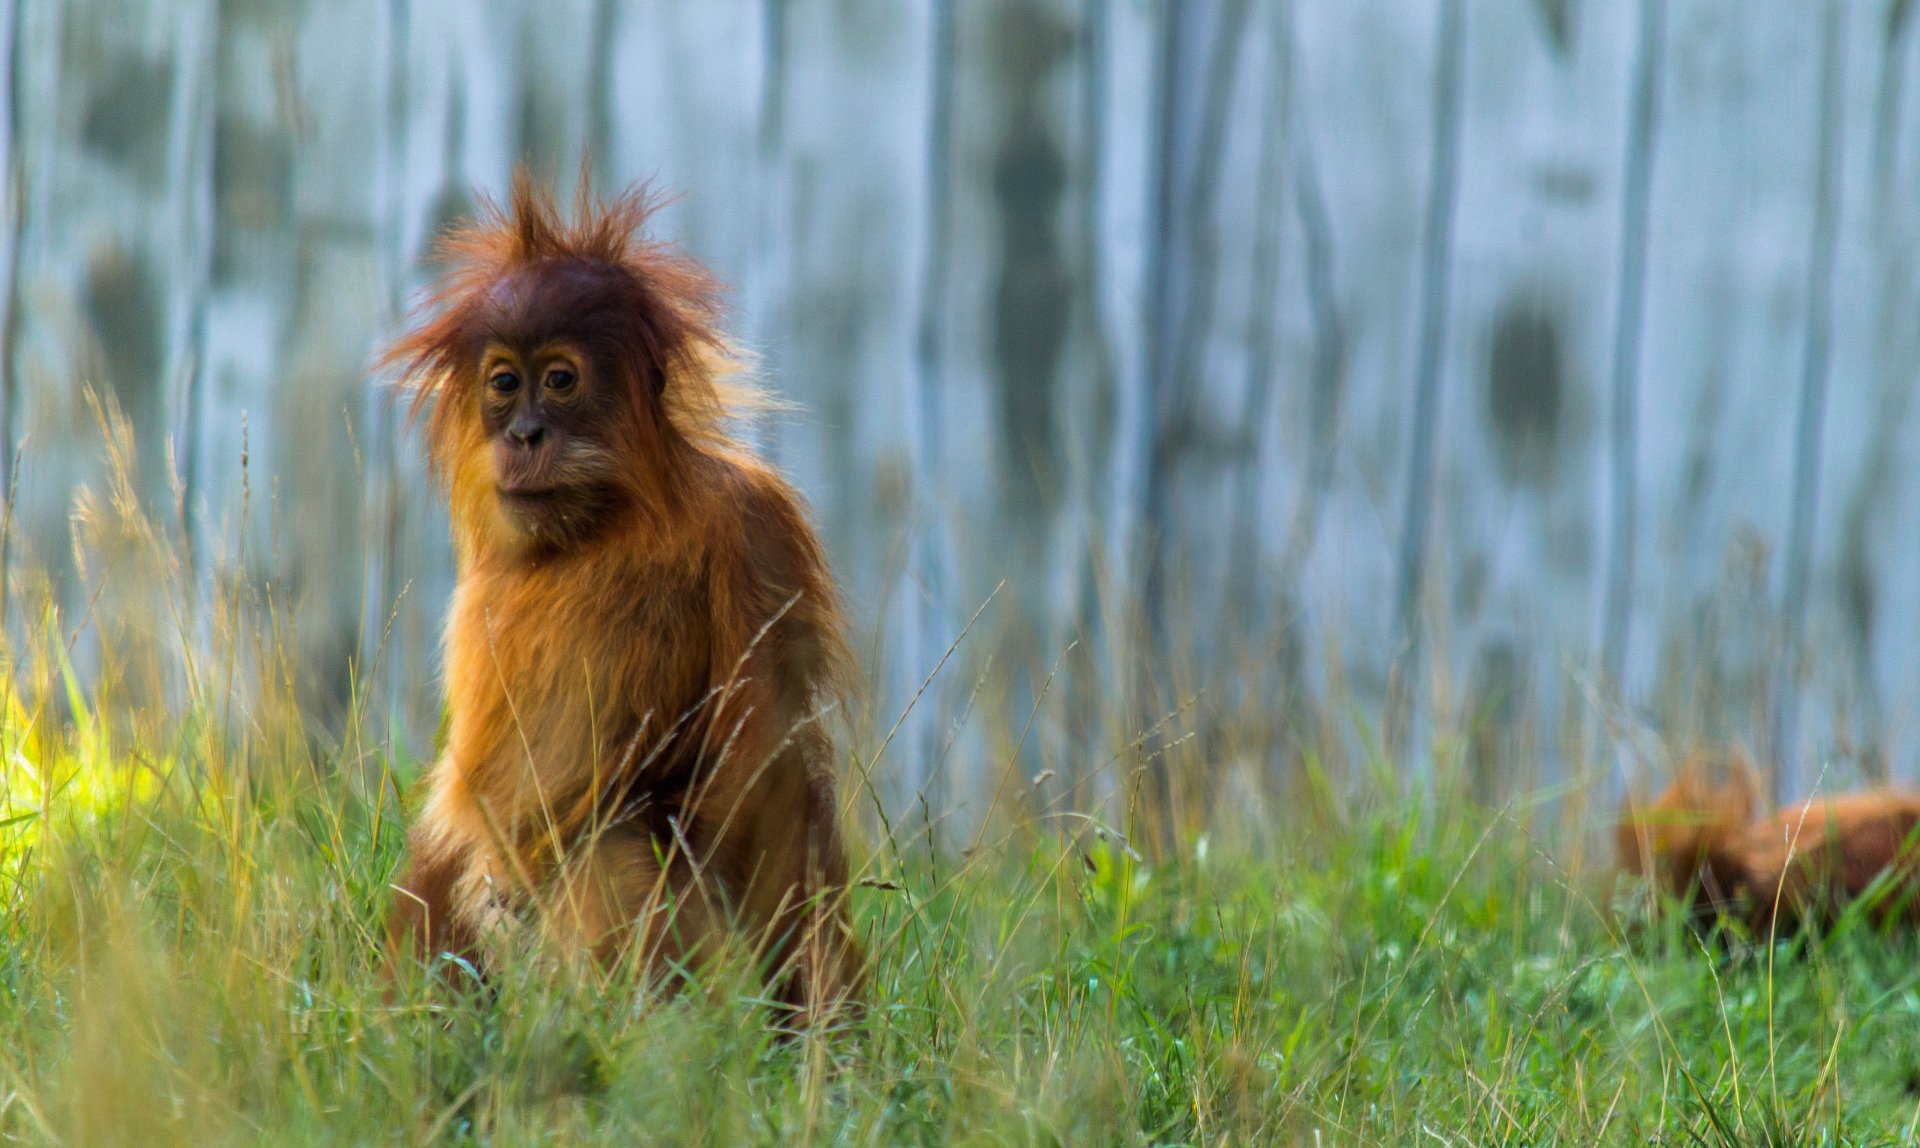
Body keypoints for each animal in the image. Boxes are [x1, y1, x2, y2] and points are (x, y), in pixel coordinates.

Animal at [381, 170, 863, 1022]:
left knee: (615, 846)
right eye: (504, 383)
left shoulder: (754, 528)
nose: (525, 435)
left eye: (560, 380)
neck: (605, 521)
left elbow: (769, 765)